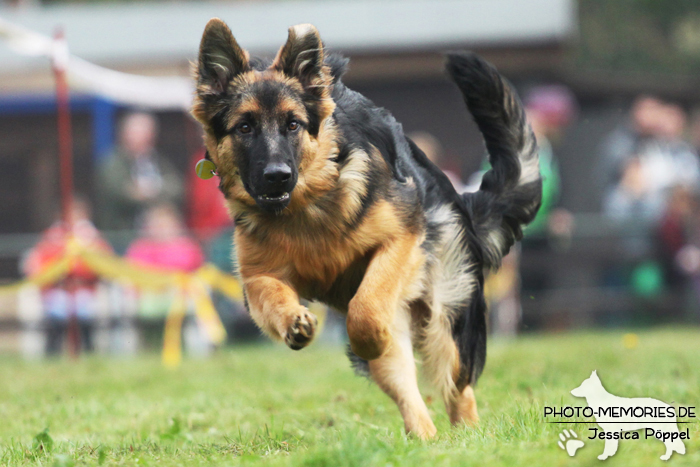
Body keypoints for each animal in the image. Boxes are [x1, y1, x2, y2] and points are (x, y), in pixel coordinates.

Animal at [194, 18, 544, 440]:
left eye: (293, 124)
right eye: (244, 127)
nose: (277, 177)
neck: (306, 209)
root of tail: (457, 198)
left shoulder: (401, 239)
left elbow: (366, 308)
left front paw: (370, 337)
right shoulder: (257, 276)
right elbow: (274, 297)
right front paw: (294, 322)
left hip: (447, 318)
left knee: (459, 387)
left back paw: (466, 436)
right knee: (409, 392)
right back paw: (424, 438)